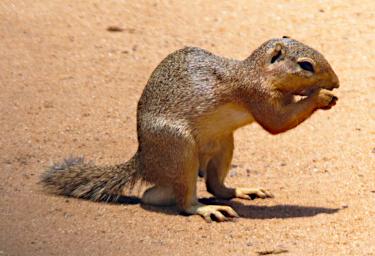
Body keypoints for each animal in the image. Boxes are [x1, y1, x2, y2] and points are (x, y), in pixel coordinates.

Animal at [41, 36, 340, 222]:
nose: (336, 82)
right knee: (184, 201)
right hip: (180, 148)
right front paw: (321, 97)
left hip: (224, 144)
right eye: (305, 65)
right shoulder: (256, 95)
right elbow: (276, 123)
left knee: (208, 186)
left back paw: (241, 191)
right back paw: (206, 210)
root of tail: (144, 161)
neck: (256, 72)